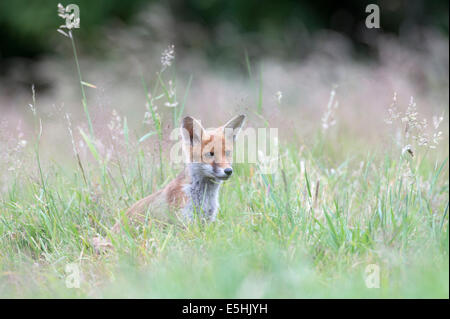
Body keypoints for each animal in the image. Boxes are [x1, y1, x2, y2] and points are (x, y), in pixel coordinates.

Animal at [112, 115, 246, 232]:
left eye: (227, 153)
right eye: (211, 154)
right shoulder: (184, 224)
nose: (228, 171)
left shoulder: (205, 221)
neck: (204, 197)